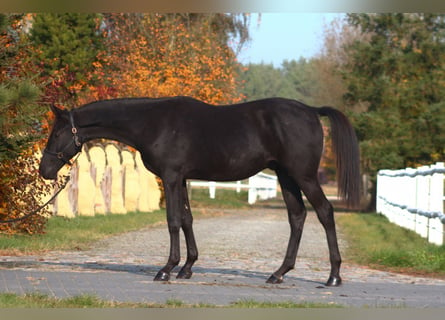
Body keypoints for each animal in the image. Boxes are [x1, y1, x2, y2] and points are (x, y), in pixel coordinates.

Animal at [38, 96, 360, 286]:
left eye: (57, 132)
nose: (45, 170)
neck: (152, 122)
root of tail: (311, 111)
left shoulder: (170, 177)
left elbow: (173, 221)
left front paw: (167, 269)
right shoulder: (181, 179)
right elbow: (187, 220)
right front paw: (187, 267)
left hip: (303, 176)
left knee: (324, 212)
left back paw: (333, 276)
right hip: (286, 176)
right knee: (297, 216)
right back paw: (278, 273)